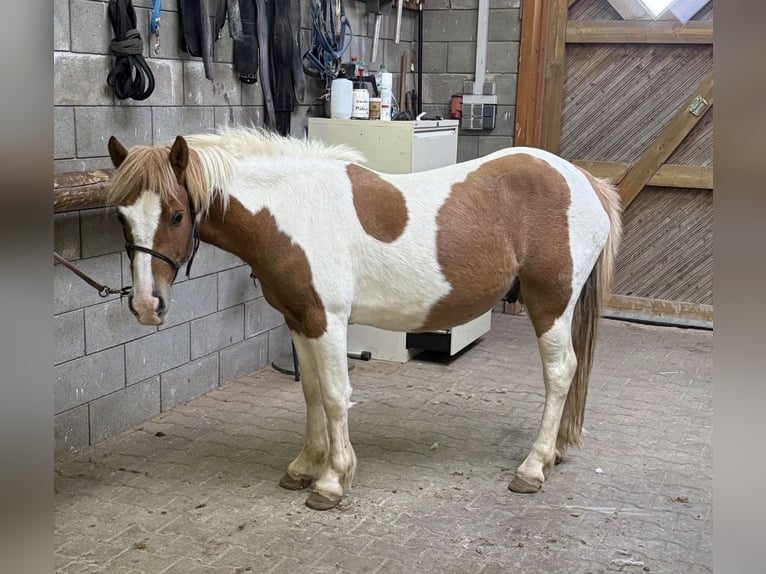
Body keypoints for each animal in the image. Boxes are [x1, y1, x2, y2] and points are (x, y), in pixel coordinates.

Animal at [106, 126, 622, 511]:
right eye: (121, 217)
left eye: (176, 215)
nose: (147, 305)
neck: (294, 210)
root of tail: (583, 180)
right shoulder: (299, 319)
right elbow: (312, 393)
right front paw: (304, 465)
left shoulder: (329, 320)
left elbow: (336, 396)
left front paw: (332, 481)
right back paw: (555, 453)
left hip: (550, 303)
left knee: (560, 372)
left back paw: (533, 467)